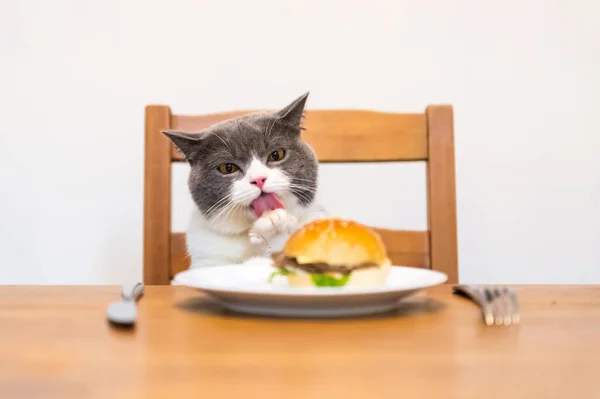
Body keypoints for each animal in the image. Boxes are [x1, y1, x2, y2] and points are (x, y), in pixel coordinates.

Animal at [162, 93, 326, 268]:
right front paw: (274, 228)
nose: (258, 179)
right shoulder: (206, 260)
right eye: (228, 168)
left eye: (277, 155)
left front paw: (276, 228)